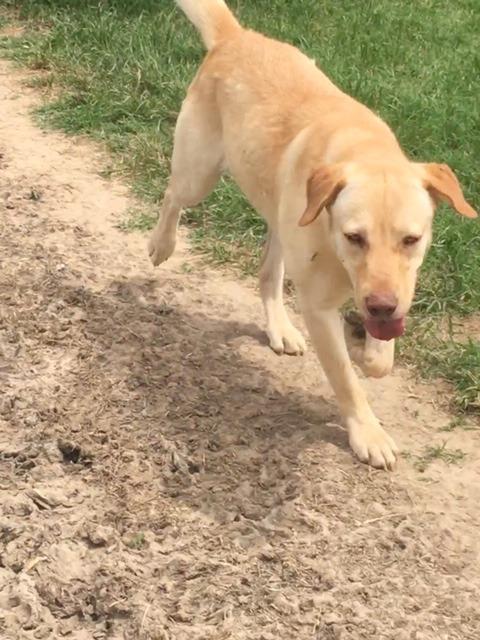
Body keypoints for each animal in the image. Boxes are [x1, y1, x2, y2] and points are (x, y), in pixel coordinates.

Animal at [149, 0, 476, 470]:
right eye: (354, 237)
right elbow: (346, 379)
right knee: (174, 194)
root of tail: (237, 37)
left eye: (411, 240)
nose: (380, 305)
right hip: (200, 172)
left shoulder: (395, 293)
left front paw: (366, 347)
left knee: (268, 274)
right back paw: (162, 244)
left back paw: (280, 326)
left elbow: (379, 362)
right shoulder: (320, 309)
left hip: (281, 217)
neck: (362, 150)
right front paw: (368, 432)